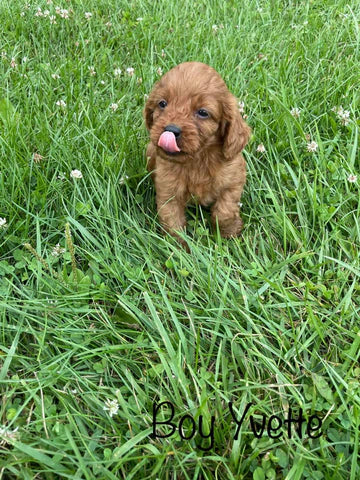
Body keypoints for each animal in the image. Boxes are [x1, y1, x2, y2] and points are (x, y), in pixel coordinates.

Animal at [143, 61, 250, 244]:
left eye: (202, 112)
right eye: (162, 103)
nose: (171, 130)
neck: (198, 160)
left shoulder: (234, 181)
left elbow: (224, 211)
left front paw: (229, 233)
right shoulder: (168, 193)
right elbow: (173, 224)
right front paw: (178, 248)